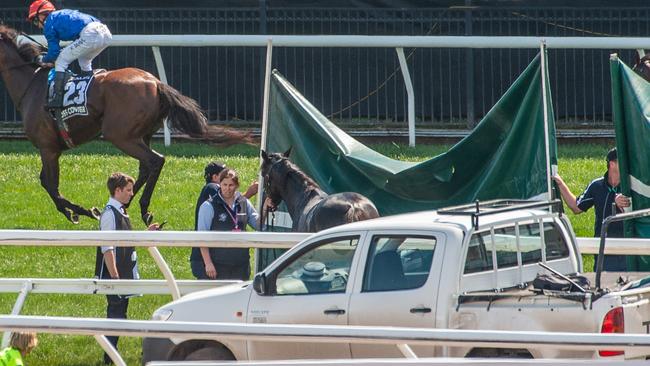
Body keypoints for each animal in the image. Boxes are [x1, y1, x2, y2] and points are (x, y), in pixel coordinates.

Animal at [0, 25, 249, 223]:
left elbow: (51, 185)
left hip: (119, 135)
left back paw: (141, 207)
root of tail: (156, 82)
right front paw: (79, 211)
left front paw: (80, 212)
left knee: (155, 160)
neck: (32, 85)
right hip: (141, 134)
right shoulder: (51, 148)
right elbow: (46, 182)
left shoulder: (48, 147)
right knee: (146, 166)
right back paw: (127, 203)